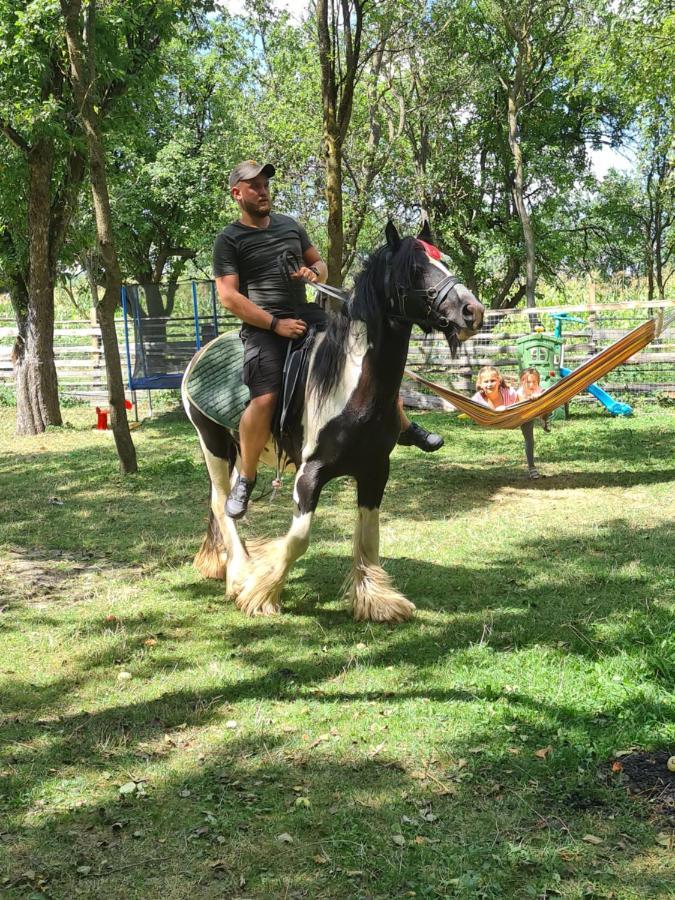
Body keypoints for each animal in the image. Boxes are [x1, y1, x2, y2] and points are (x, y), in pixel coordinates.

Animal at [182, 223, 484, 620]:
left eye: (443, 260)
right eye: (414, 269)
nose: (472, 311)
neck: (351, 387)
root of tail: (201, 353)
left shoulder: (375, 470)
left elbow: (369, 537)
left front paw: (376, 601)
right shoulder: (309, 476)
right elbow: (298, 540)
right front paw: (261, 592)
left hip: (242, 452)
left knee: (232, 496)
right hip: (213, 443)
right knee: (222, 506)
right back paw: (240, 573)